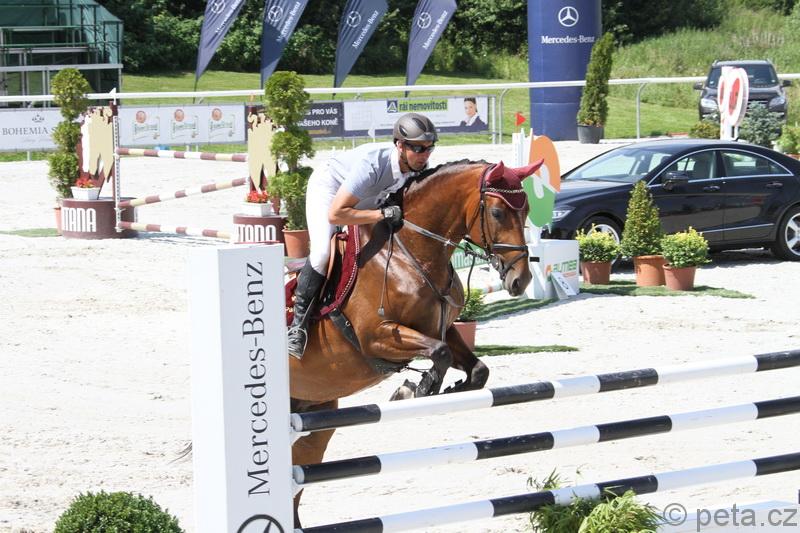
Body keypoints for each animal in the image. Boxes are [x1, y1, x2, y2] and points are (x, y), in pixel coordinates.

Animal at [289, 159, 542, 526]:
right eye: (497, 213)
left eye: (526, 212)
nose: (520, 280)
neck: (411, 253)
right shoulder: (377, 337)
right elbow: (440, 353)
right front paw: (414, 390)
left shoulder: (444, 327)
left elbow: (475, 367)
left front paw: (445, 389)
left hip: (314, 412)